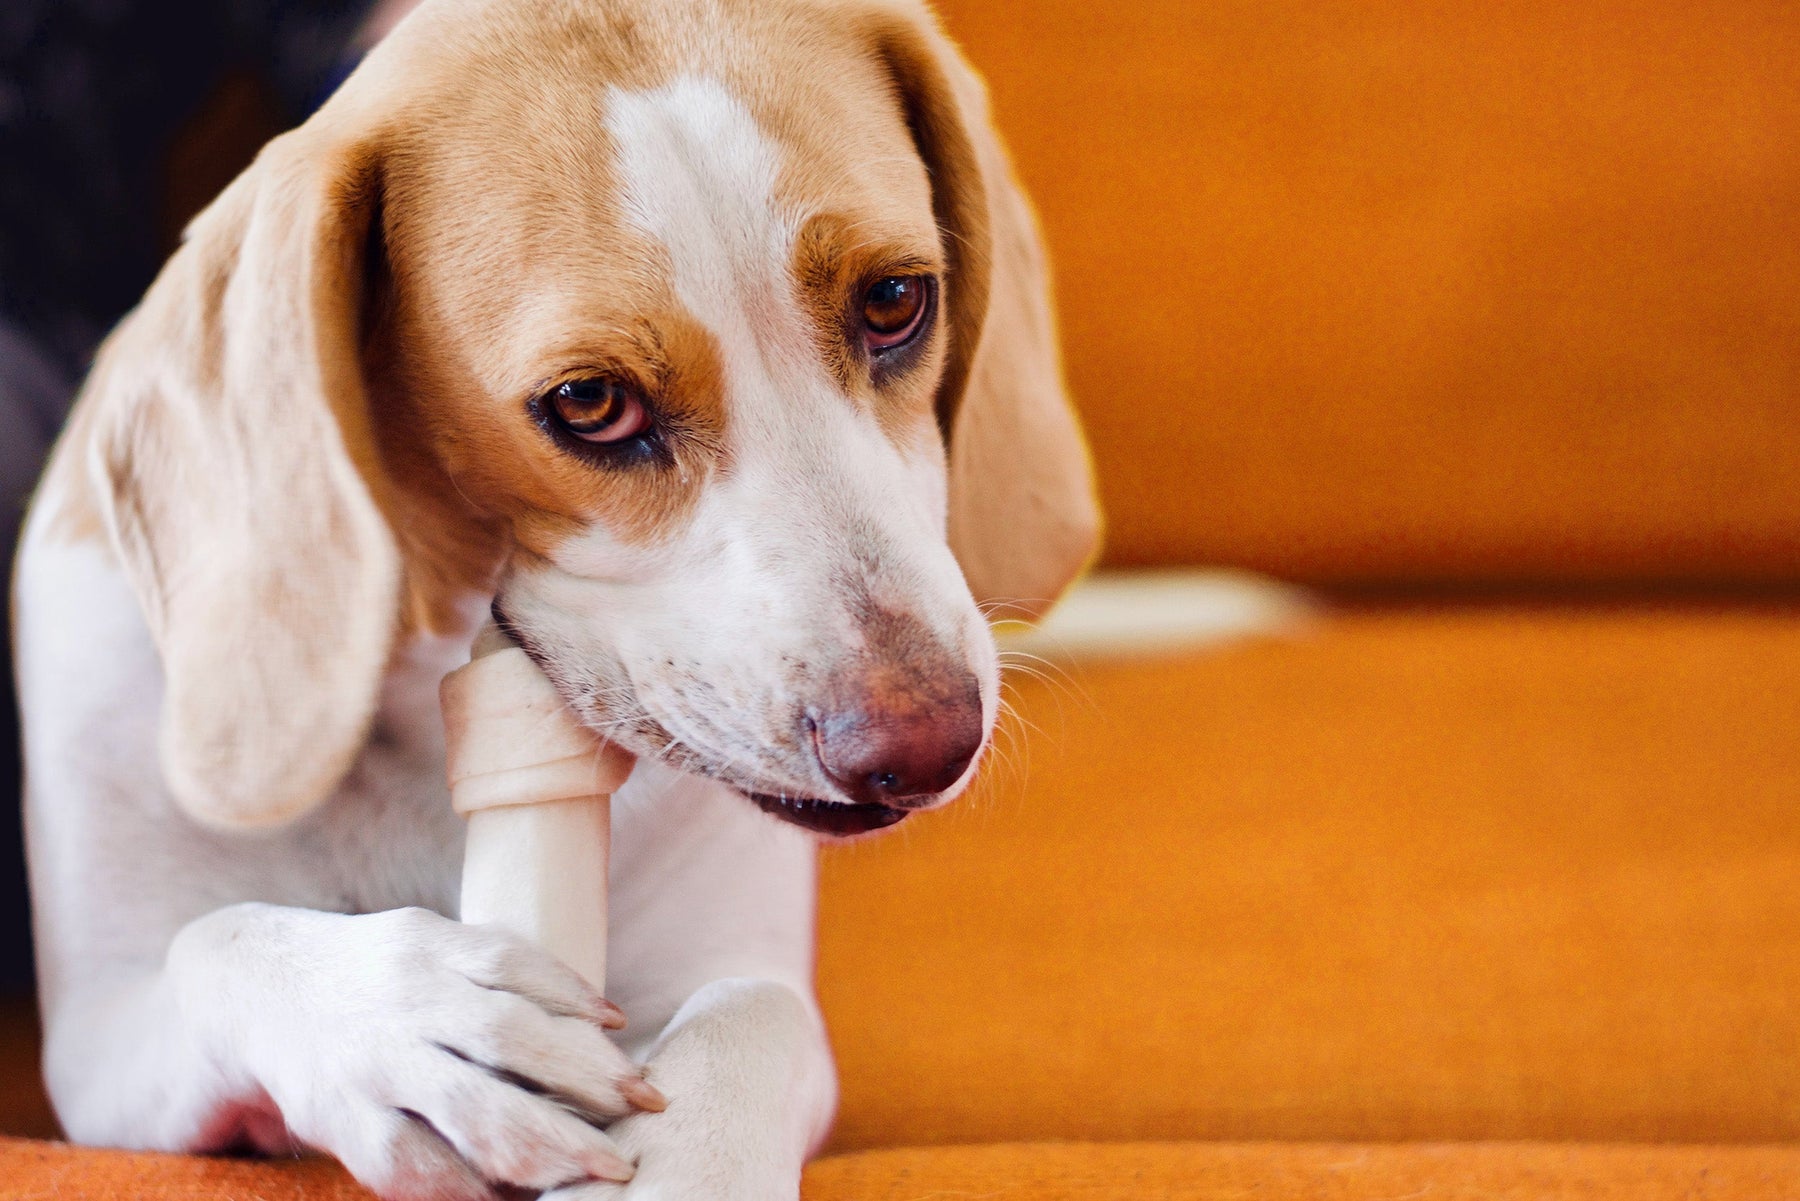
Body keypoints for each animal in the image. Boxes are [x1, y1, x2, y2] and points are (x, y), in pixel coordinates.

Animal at [14, 0, 1094, 1195]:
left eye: (896, 300)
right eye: (588, 403)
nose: (926, 746)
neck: (419, 722)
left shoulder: (735, 968)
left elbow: (748, 1015)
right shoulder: (96, 1048)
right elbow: (217, 942)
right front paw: (404, 1022)